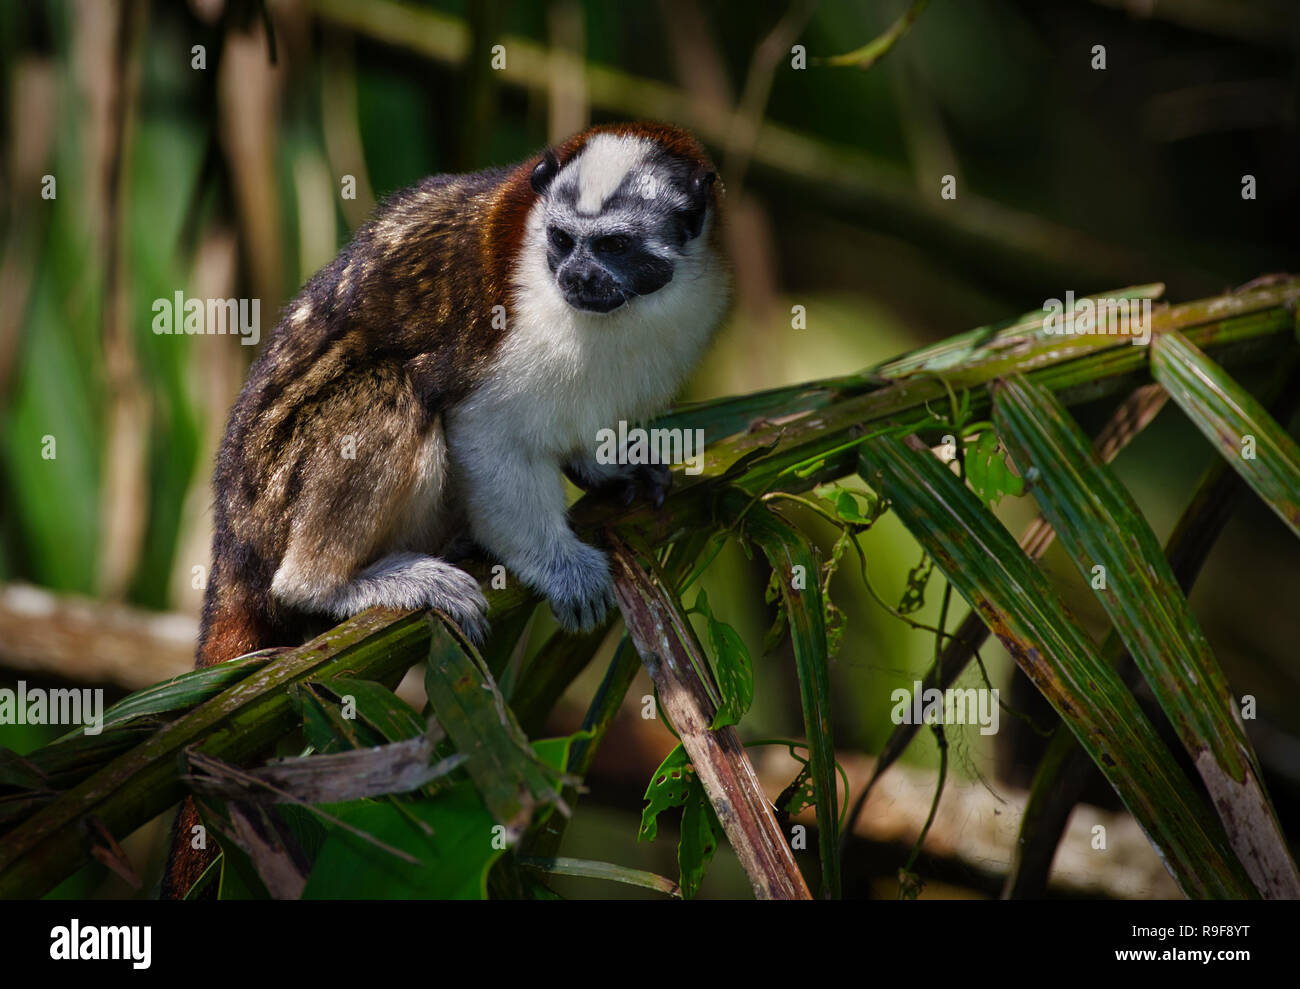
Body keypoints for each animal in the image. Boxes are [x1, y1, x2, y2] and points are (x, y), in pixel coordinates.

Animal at [160, 122, 729, 897]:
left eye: (612, 246)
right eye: (561, 241)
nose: (577, 277)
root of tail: (232, 530)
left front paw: (615, 471)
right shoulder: (516, 326)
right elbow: (483, 429)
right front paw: (559, 567)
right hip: (276, 497)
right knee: (397, 388)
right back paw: (333, 583)